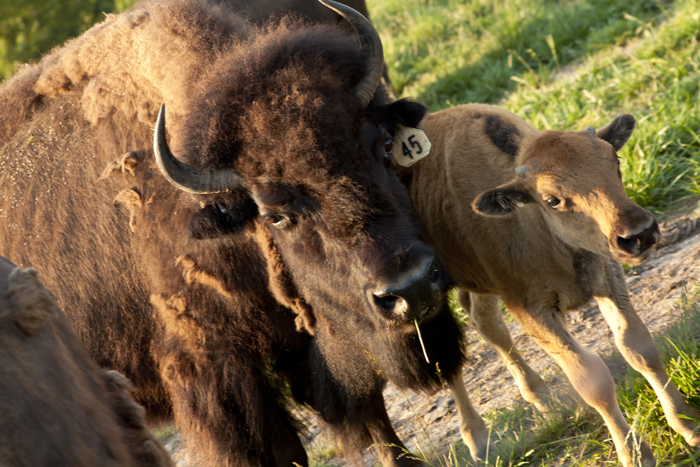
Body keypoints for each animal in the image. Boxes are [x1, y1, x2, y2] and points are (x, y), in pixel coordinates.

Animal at [396, 104, 700, 466]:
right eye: (552, 199)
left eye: (615, 161)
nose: (639, 233)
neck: (537, 225)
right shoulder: (532, 310)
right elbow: (592, 379)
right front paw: (635, 455)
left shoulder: (608, 278)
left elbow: (639, 348)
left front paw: (688, 424)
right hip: (429, 296)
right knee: (445, 357)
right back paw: (479, 441)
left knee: (485, 321)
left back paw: (542, 397)